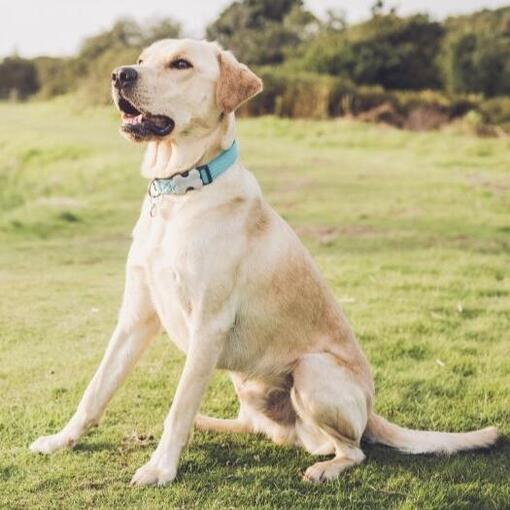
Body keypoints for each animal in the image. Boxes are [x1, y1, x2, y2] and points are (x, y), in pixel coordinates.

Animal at [28, 39, 498, 486]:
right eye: (142, 59)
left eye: (181, 64)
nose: (119, 74)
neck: (180, 193)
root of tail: (371, 411)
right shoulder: (135, 317)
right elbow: (97, 388)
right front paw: (61, 440)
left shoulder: (208, 324)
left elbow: (179, 405)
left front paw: (161, 468)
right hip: (248, 384)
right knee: (255, 426)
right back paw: (208, 423)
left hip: (312, 370)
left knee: (352, 449)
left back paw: (326, 467)